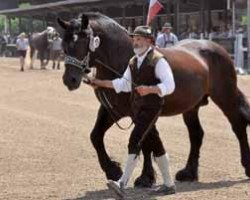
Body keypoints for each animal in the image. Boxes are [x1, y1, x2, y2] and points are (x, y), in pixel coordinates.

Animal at [57, 12, 250, 188]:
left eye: (82, 42)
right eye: (64, 45)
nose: (70, 80)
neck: (122, 62)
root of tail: (216, 48)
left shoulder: (141, 113)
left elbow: (146, 144)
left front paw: (145, 178)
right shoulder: (111, 110)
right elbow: (96, 136)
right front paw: (113, 170)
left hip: (225, 96)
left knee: (238, 125)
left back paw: (246, 166)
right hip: (191, 107)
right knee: (196, 134)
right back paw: (189, 173)